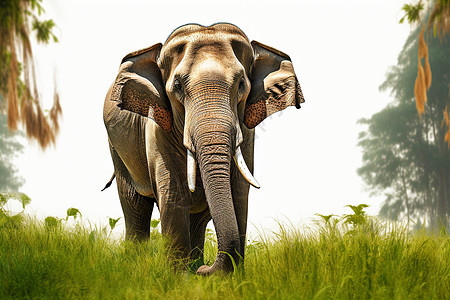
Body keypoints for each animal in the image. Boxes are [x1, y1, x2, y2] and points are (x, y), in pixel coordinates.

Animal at [103, 22, 304, 276]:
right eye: (177, 86)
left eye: (241, 84)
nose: (204, 270)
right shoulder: (157, 127)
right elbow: (172, 194)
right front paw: (178, 279)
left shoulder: (246, 133)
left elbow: (239, 193)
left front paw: (229, 278)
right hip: (117, 148)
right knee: (134, 205)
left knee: (197, 218)